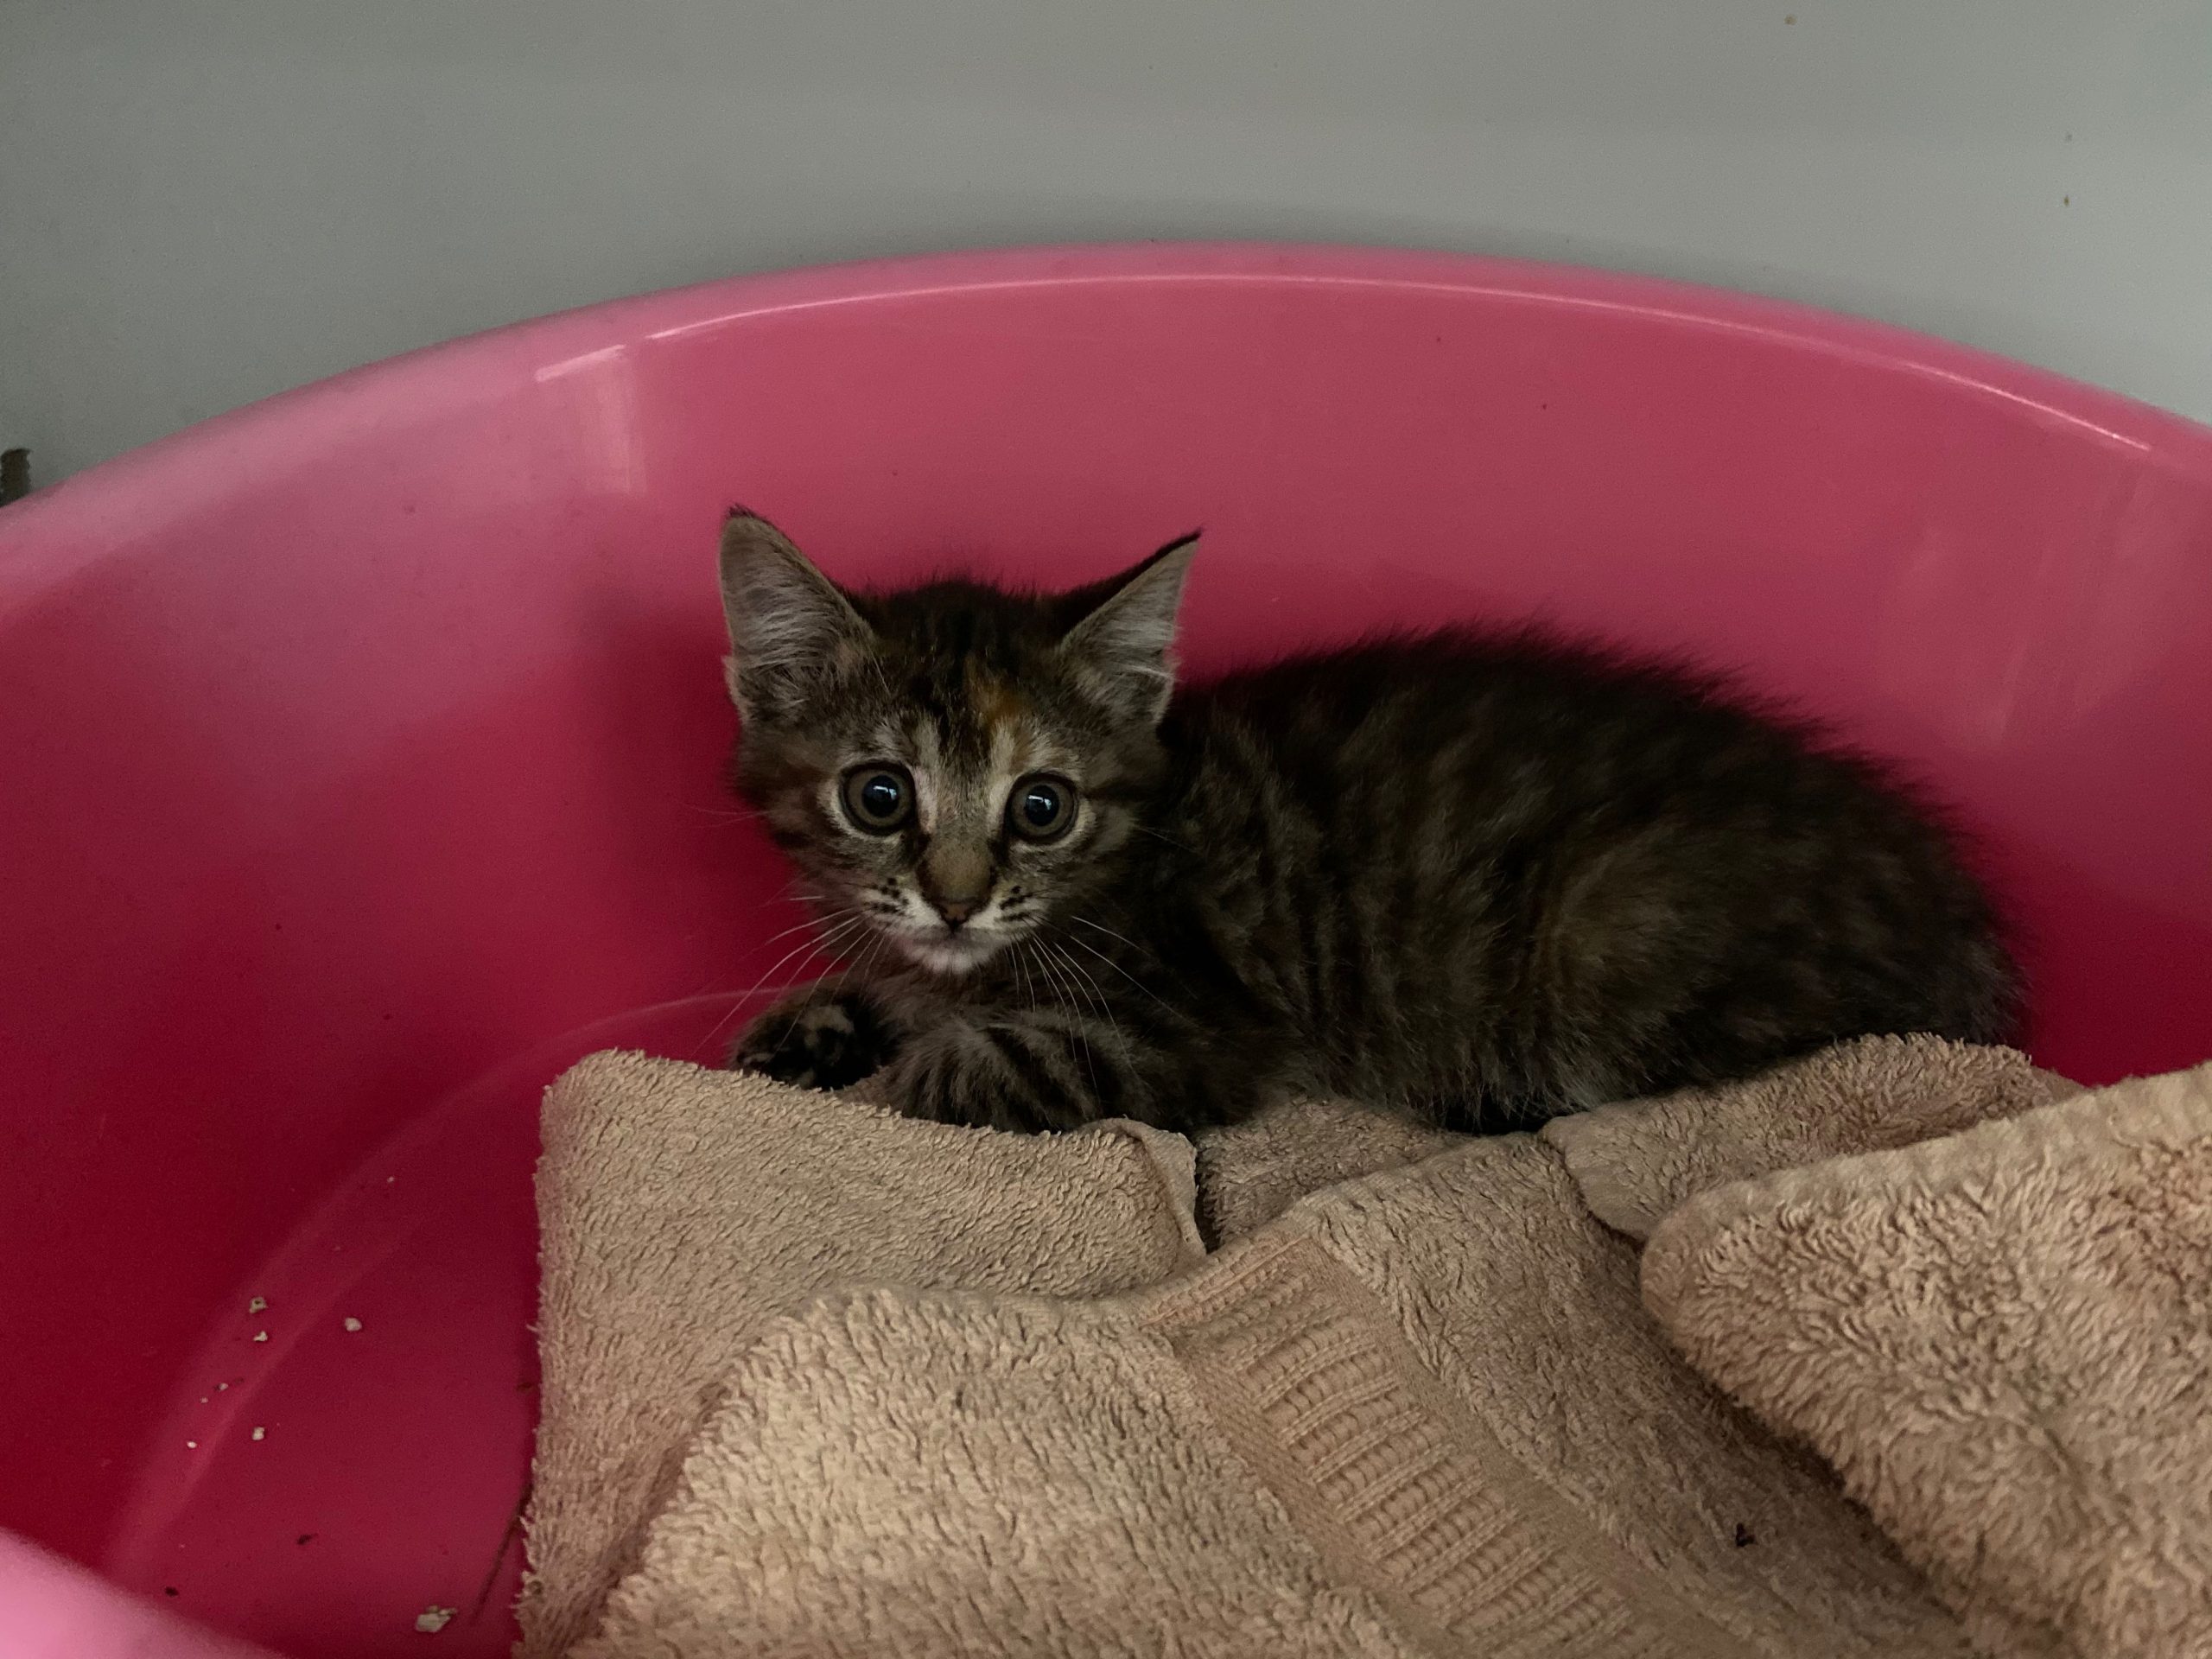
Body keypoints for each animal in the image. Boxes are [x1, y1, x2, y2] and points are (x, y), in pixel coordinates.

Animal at [715, 509, 2018, 1135]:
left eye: (1041, 807)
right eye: (879, 795)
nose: (955, 897)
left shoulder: (1188, 1038)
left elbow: (959, 1074)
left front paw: (854, 1097)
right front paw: (810, 1030)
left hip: (1615, 929)